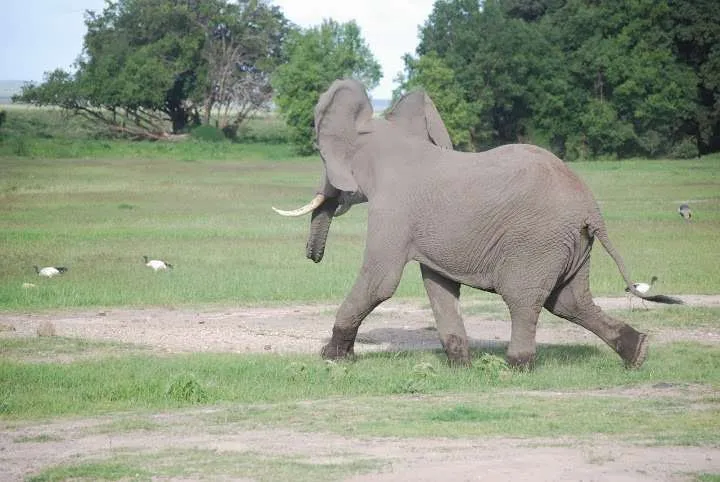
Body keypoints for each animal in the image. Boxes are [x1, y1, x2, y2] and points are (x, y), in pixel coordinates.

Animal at [273, 78, 683, 369]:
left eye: (323, 158)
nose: (313, 256)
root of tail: (591, 209)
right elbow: (438, 285)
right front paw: (460, 365)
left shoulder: (394, 210)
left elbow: (380, 281)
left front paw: (330, 358)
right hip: (573, 243)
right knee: (569, 301)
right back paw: (639, 353)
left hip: (538, 241)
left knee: (524, 299)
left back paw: (516, 366)